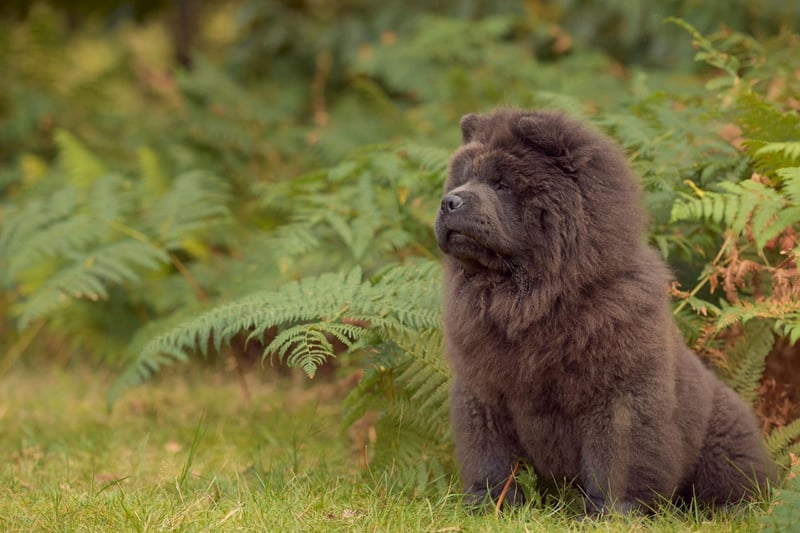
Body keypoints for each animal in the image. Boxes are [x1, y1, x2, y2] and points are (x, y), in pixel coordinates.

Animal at [434, 109, 780, 516]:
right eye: (463, 179)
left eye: (502, 184)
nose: (449, 202)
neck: (531, 297)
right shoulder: (483, 388)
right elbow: (489, 454)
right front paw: (489, 504)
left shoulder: (618, 394)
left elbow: (614, 459)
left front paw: (611, 513)